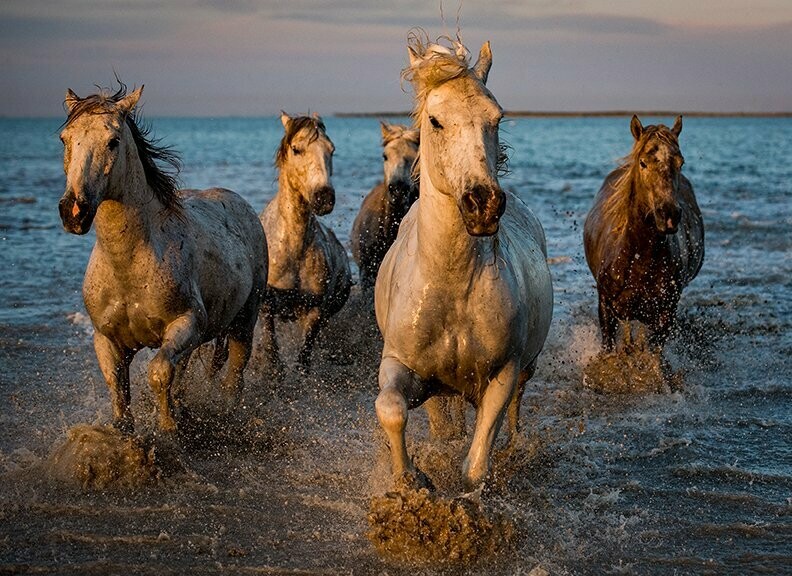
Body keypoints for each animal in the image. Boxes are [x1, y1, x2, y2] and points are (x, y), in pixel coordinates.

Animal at [57, 83, 266, 434]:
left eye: (113, 141)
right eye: (65, 138)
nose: (74, 211)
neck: (129, 265)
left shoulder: (186, 324)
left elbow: (159, 373)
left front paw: (168, 428)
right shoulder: (107, 340)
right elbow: (119, 389)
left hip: (242, 324)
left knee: (233, 380)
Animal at [258, 112, 352, 372]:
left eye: (331, 149)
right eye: (296, 149)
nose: (324, 197)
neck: (293, 249)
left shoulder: (314, 311)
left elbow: (303, 359)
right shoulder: (267, 306)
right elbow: (272, 355)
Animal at [374, 33, 552, 488]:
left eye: (497, 118)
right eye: (435, 121)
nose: (483, 204)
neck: (451, 284)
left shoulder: (503, 374)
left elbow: (475, 464)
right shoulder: (400, 365)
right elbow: (391, 409)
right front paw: (411, 479)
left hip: (523, 372)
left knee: (514, 414)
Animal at [580, 114, 704, 352]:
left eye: (680, 162)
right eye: (643, 163)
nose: (669, 214)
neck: (639, 259)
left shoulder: (665, 316)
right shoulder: (606, 308)